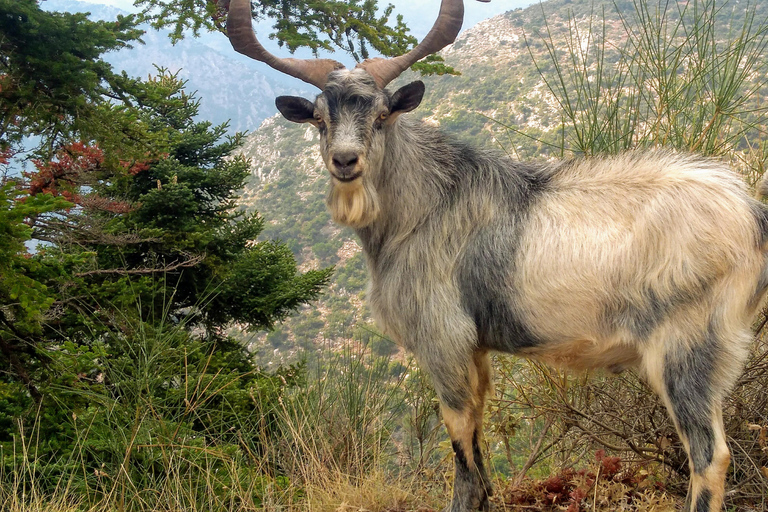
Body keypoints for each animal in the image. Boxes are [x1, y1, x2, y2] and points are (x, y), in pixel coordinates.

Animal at [225, 0, 768, 510]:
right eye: (319, 118)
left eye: (381, 116)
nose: (345, 161)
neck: (425, 207)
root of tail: (752, 216)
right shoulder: (476, 349)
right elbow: (480, 448)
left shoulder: (443, 340)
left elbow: (462, 449)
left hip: (689, 347)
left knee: (710, 456)